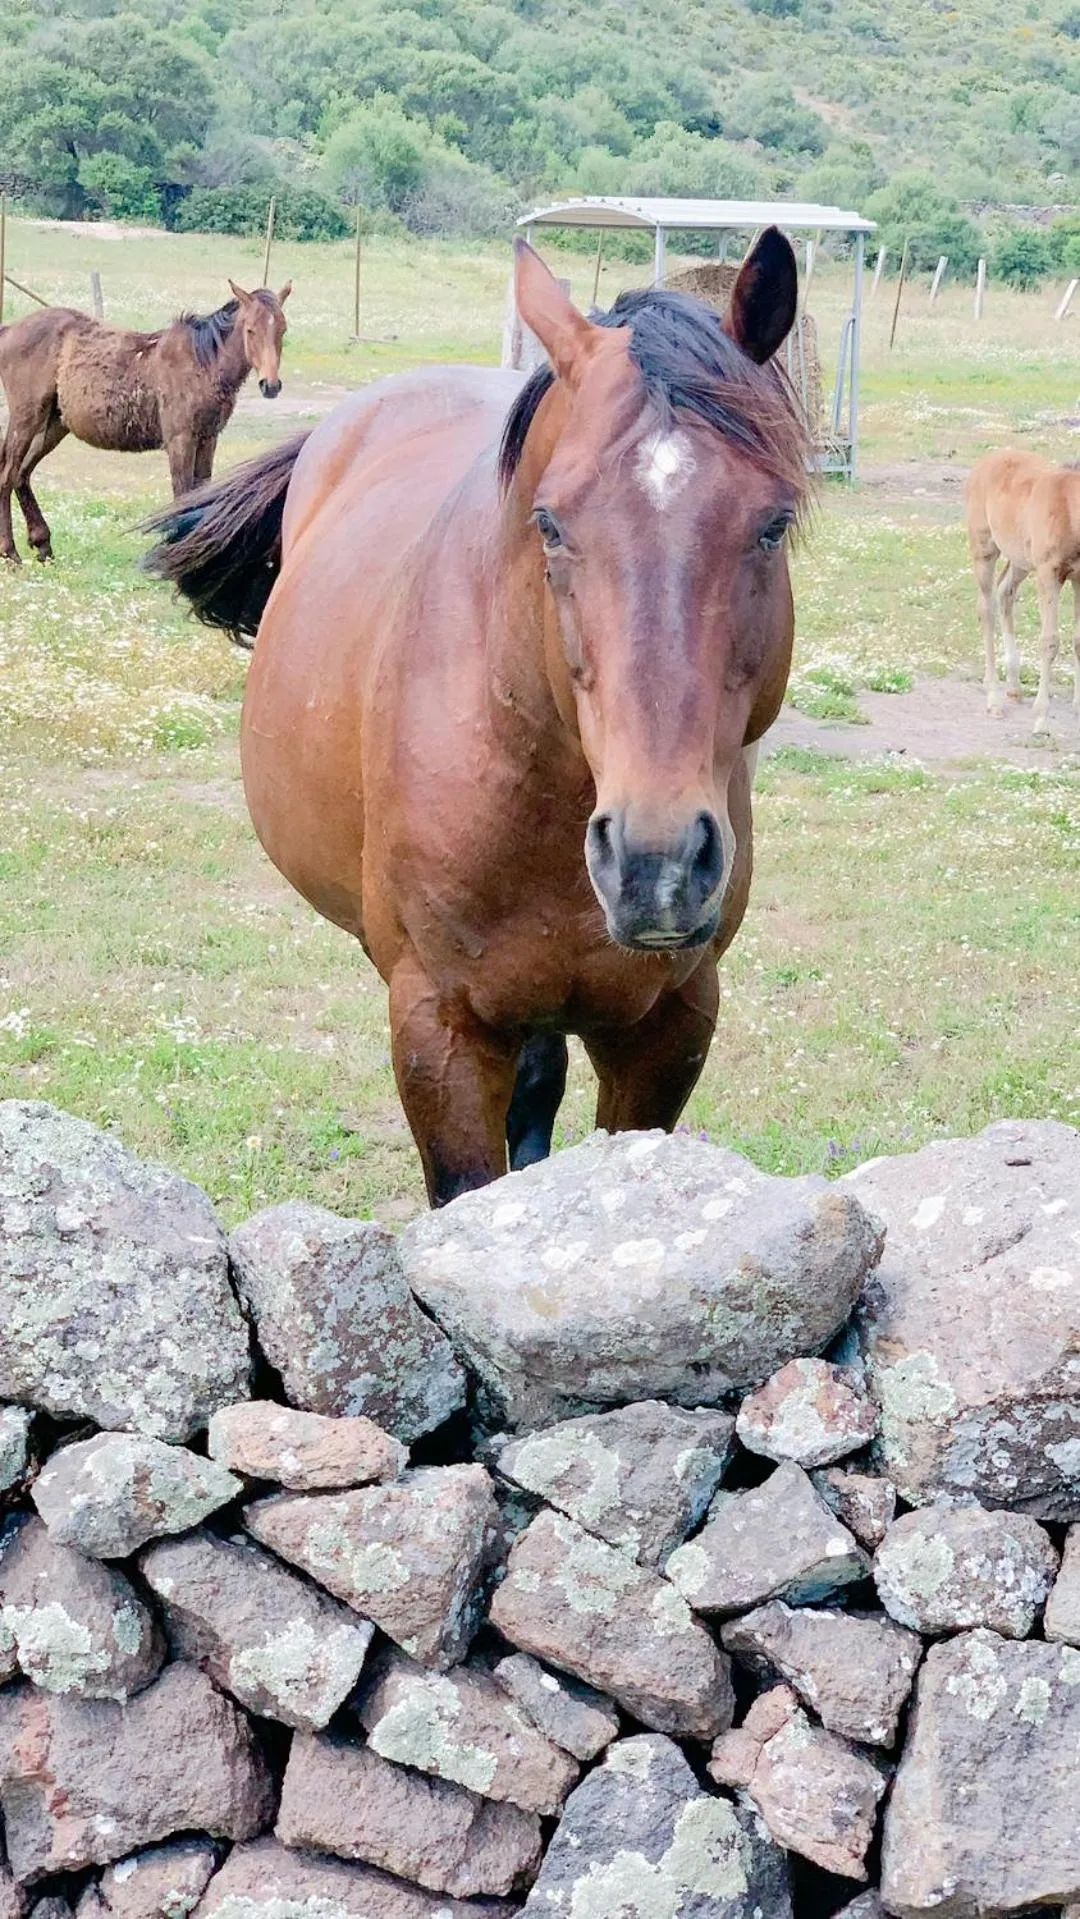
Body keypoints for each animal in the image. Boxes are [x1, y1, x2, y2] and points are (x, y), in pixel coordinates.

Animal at [0, 280, 291, 565]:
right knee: (8, 475)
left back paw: (43, 545)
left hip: (53, 424)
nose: (271, 385)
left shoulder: (208, 439)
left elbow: (200, 493)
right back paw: (11, 552)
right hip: (26, 418)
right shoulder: (180, 439)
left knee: (22, 474)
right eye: (250, 330)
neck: (203, 364)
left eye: (283, 329)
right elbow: (182, 494)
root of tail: (9, 330)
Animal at [966, 447, 1080, 732]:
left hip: (1019, 558)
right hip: (984, 549)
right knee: (986, 609)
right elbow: (1049, 642)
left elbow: (1078, 640)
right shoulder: (1048, 574)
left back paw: (1014, 687)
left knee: (1005, 592)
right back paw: (994, 701)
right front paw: (1041, 717)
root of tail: (987, 461)